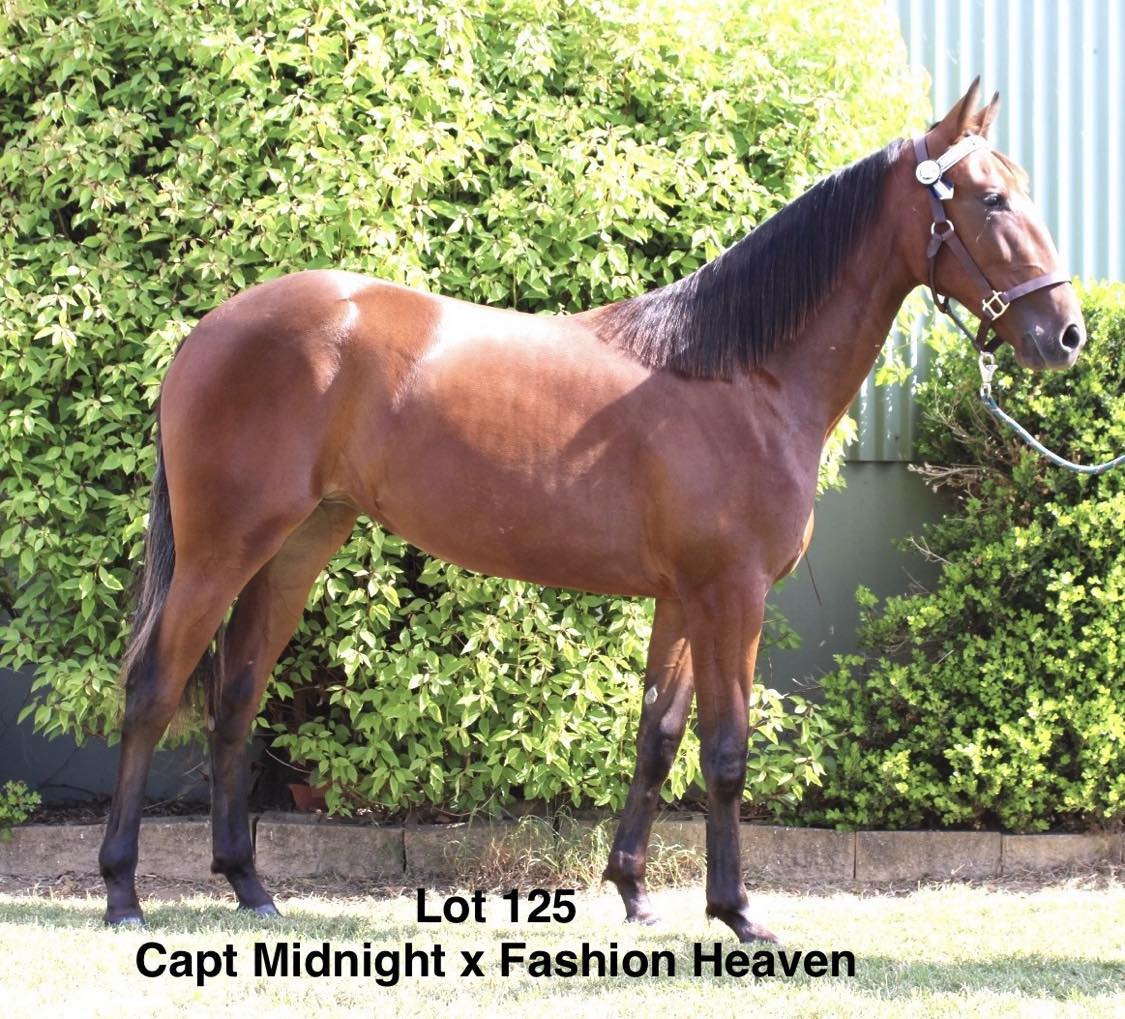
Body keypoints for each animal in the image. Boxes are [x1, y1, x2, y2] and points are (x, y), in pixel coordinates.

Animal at [99, 81, 1085, 941]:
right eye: (991, 198)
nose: (1066, 334)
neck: (740, 377)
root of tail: (205, 332)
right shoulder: (732, 596)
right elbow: (726, 752)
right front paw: (738, 913)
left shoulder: (682, 598)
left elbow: (658, 737)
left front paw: (636, 893)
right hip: (221, 548)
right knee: (153, 688)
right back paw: (122, 894)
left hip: (297, 543)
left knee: (235, 695)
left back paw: (249, 886)